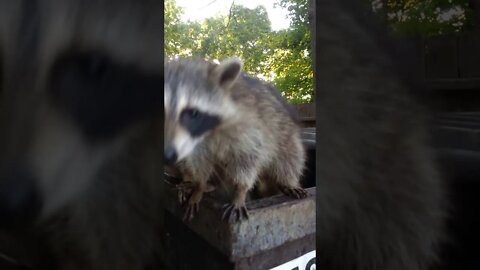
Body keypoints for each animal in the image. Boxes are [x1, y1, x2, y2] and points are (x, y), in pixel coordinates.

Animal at [165, 58, 308, 223]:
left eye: (193, 113)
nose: (167, 155)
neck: (208, 132)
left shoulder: (249, 128)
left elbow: (247, 159)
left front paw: (240, 192)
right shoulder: (193, 147)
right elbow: (198, 165)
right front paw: (199, 187)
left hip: (284, 133)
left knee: (289, 158)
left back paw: (287, 182)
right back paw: (201, 184)